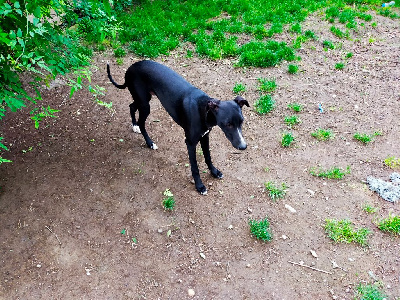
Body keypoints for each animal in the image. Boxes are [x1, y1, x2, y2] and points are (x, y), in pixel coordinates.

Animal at [108, 61, 248, 195]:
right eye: (228, 124)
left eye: (242, 121)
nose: (243, 146)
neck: (203, 109)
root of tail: (131, 67)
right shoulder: (190, 143)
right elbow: (195, 167)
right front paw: (200, 186)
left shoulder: (205, 136)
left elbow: (208, 156)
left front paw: (214, 172)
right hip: (144, 104)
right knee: (141, 122)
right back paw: (149, 142)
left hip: (141, 100)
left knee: (131, 106)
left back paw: (135, 126)